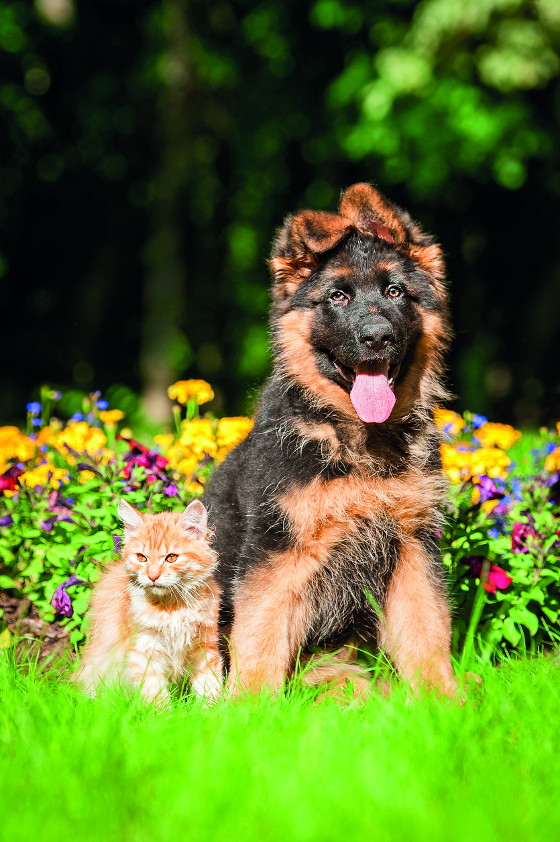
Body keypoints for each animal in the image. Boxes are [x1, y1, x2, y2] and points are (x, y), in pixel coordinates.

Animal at [77, 498, 222, 704]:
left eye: (171, 558)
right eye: (141, 557)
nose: (153, 576)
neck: (172, 607)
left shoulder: (204, 644)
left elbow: (209, 684)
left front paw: (212, 710)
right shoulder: (143, 650)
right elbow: (156, 695)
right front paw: (165, 712)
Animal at [203, 184, 458, 696]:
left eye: (395, 291)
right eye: (337, 297)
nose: (376, 337)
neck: (357, 438)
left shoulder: (412, 547)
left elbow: (426, 633)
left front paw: (444, 703)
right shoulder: (277, 552)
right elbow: (259, 635)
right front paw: (248, 708)